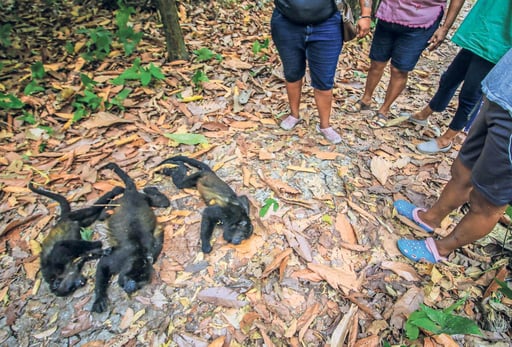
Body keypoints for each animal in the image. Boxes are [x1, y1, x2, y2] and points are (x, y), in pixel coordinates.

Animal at [92, 164, 170, 314]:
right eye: (133, 278)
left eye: (140, 283)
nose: (131, 287)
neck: (137, 255)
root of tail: (132, 193)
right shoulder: (120, 257)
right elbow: (103, 264)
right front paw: (99, 298)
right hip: (119, 202)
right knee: (106, 212)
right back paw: (105, 210)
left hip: (144, 198)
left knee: (163, 202)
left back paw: (152, 190)